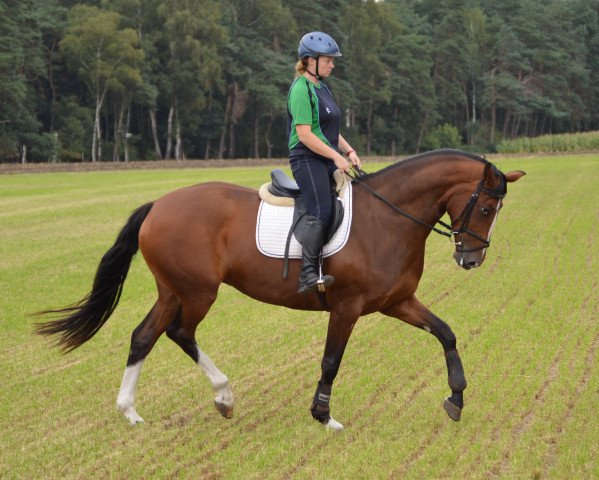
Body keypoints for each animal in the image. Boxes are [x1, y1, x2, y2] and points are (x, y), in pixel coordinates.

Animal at [36, 149, 524, 432]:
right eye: (485, 207)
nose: (471, 260)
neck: (389, 218)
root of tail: (159, 205)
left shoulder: (397, 302)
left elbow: (445, 333)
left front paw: (456, 398)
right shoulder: (346, 307)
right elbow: (331, 360)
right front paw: (323, 416)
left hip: (172, 290)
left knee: (143, 336)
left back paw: (132, 412)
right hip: (197, 292)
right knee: (179, 333)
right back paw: (224, 395)